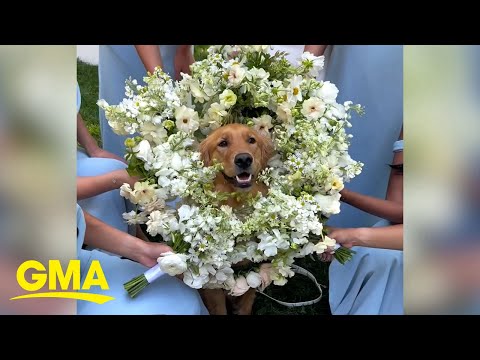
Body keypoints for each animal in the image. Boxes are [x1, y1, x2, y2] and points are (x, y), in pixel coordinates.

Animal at [199, 124, 274, 316]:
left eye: (251, 140)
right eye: (223, 143)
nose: (244, 159)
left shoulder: (252, 271)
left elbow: (246, 304)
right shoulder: (213, 283)